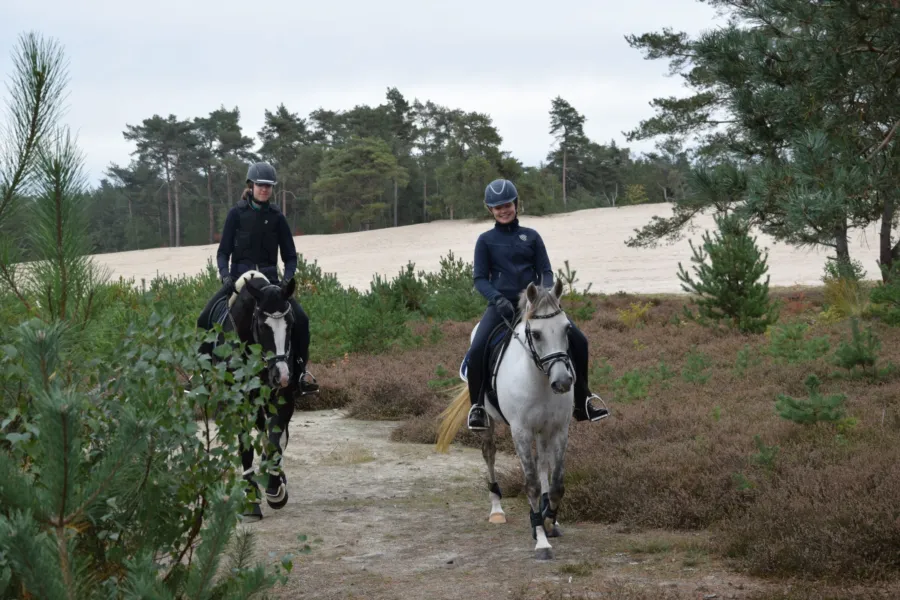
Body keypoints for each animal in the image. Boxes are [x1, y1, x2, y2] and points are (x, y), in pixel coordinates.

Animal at [438, 278, 576, 560]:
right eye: (536, 334)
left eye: (567, 329)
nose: (563, 382)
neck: (539, 378)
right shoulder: (520, 431)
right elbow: (531, 484)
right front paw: (541, 540)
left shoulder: (559, 429)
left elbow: (556, 482)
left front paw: (549, 520)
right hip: (489, 425)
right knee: (489, 454)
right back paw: (497, 510)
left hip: (543, 431)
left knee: (542, 463)